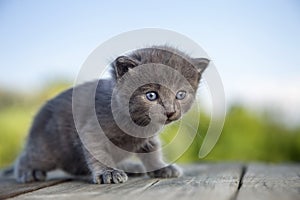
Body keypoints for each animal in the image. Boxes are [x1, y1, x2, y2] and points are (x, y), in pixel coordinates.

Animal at [11, 46, 209, 184]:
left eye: (180, 95)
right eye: (151, 95)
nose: (170, 111)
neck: (140, 125)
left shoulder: (149, 139)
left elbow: (153, 151)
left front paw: (161, 167)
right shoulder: (91, 130)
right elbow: (98, 152)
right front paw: (109, 172)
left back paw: (130, 166)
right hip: (46, 150)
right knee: (27, 158)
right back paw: (28, 172)